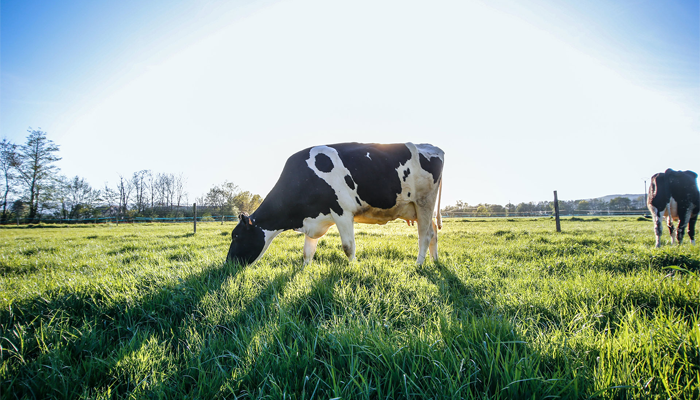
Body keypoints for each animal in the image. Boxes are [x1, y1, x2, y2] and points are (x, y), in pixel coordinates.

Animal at [227, 143, 446, 266]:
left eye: (236, 236)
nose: (228, 264)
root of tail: (432, 147)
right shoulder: (313, 219)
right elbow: (307, 251)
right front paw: (304, 270)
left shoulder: (342, 212)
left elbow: (348, 247)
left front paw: (353, 268)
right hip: (418, 208)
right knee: (434, 232)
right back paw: (435, 261)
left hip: (424, 202)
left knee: (425, 235)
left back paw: (418, 265)